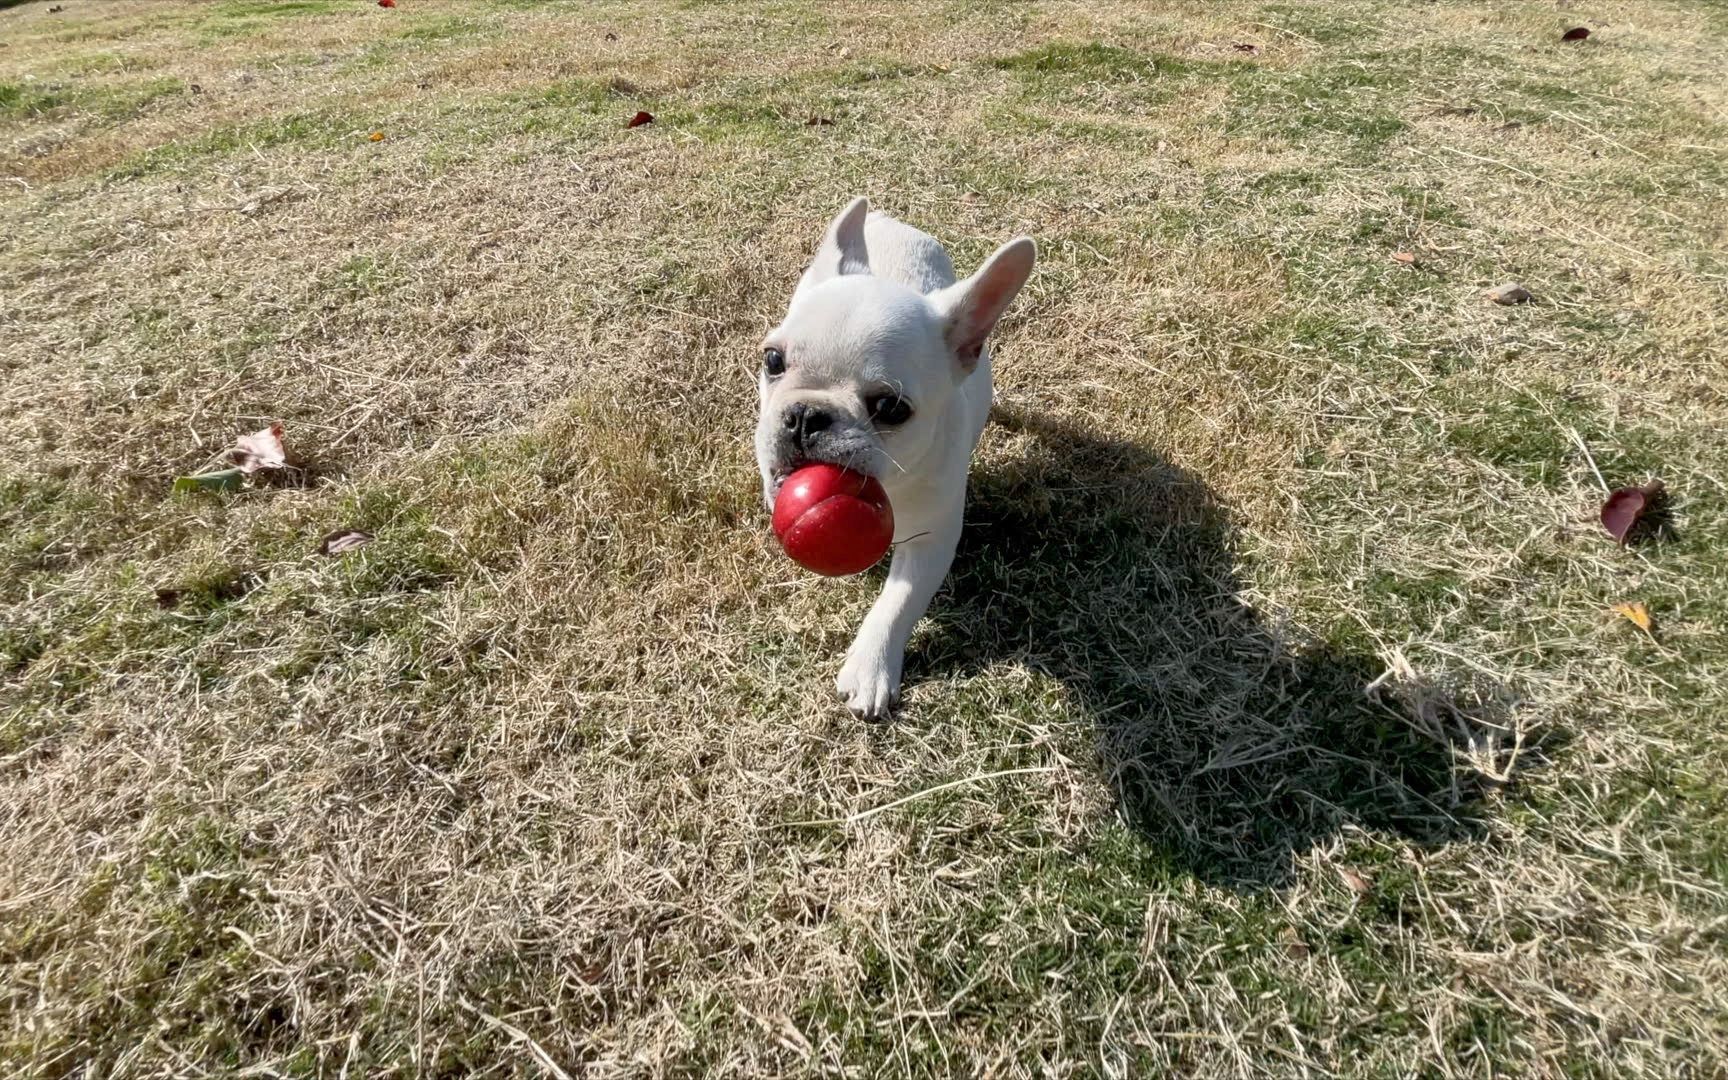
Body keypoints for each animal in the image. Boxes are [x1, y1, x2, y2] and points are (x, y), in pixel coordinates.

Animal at [749, 197, 1029, 718]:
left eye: (892, 409)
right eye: (772, 360)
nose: (806, 416)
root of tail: (889, 222)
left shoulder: (932, 539)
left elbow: (899, 602)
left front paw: (870, 666)